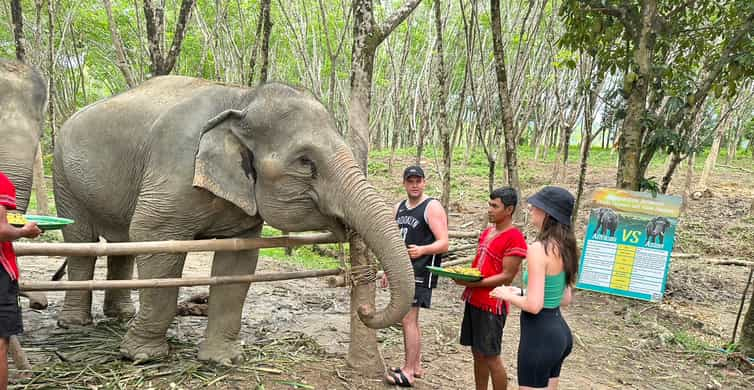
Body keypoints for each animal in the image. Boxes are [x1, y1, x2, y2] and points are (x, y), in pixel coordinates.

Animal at [53, 77, 414, 366]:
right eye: (305, 161)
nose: (365, 312)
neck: (241, 99)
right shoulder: (174, 169)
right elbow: (152, 237)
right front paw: (141, 356)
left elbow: (237, 263)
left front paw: (222, 360)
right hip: (62, 175)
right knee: (80, 240)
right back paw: (74, 324)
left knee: (121, 240)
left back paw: (121, 315)